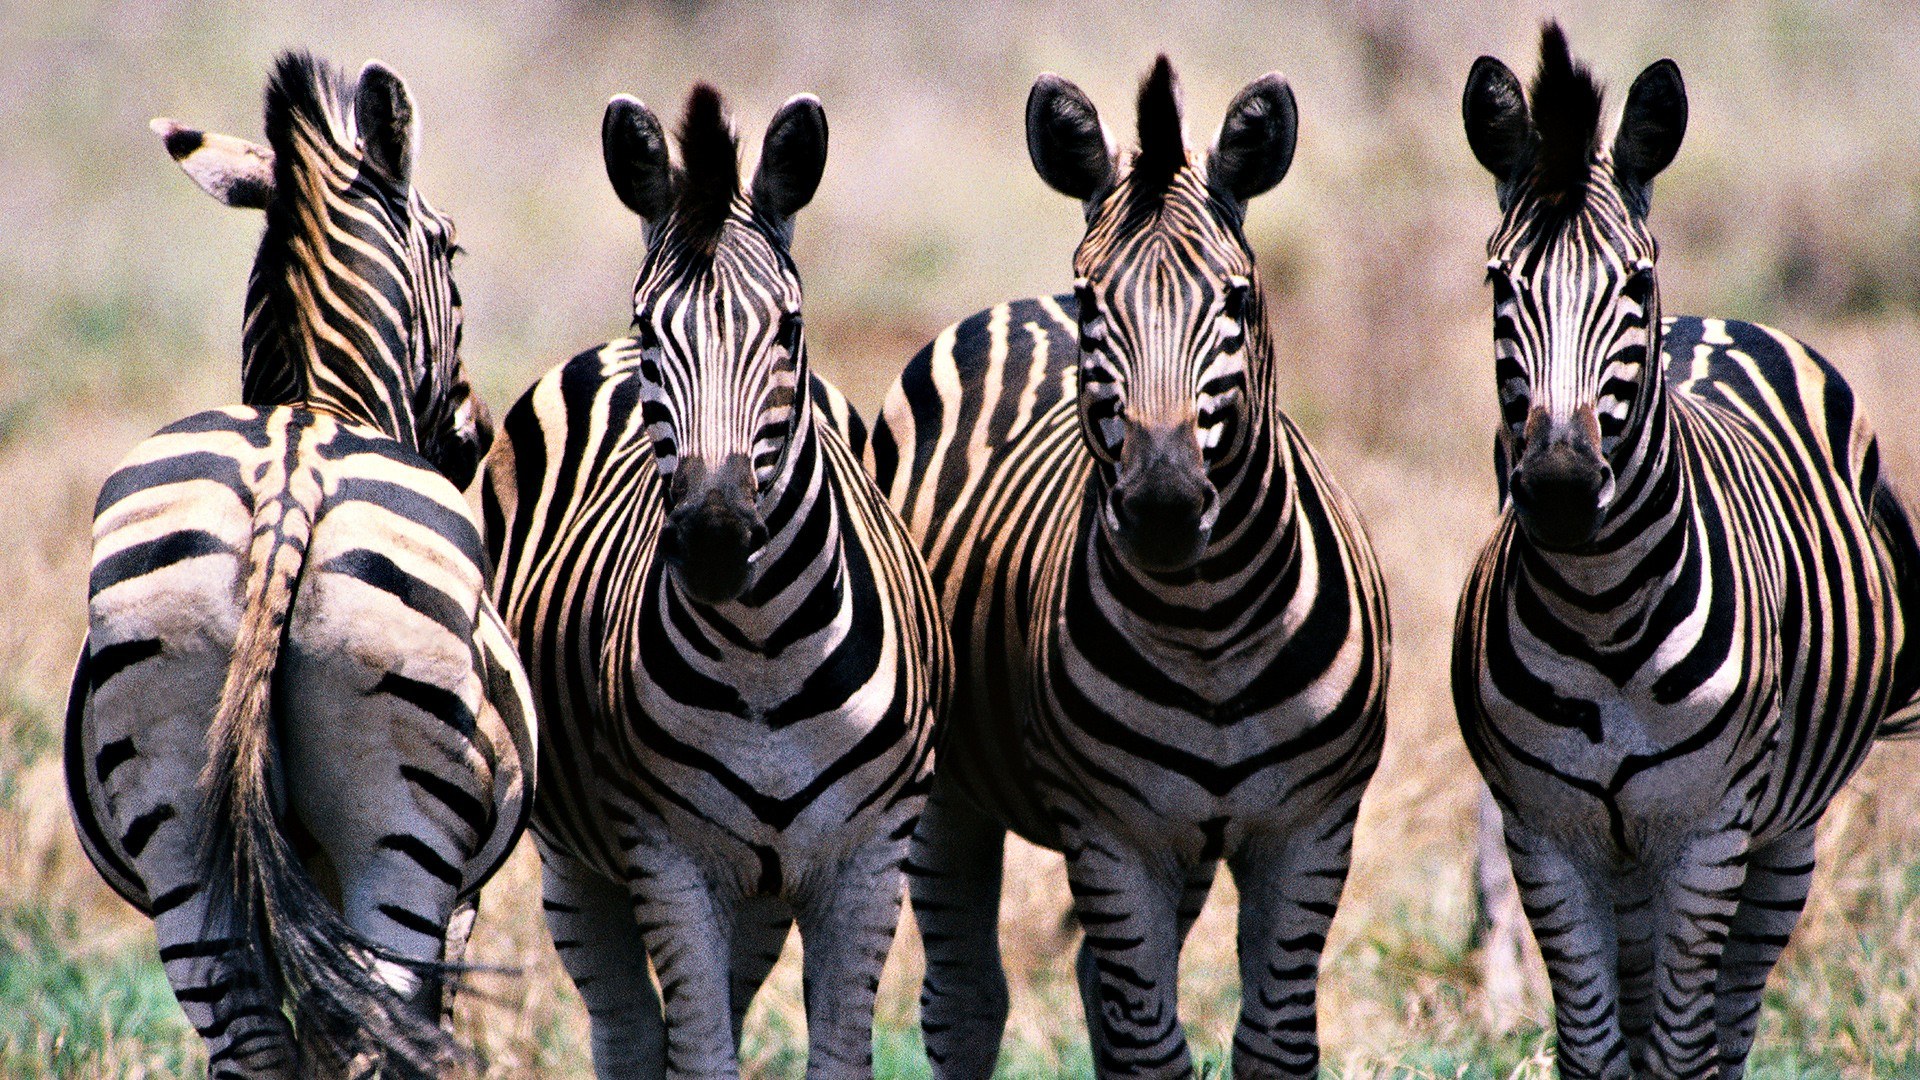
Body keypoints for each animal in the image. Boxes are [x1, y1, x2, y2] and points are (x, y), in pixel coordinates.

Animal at [66, 53, 535, 1078]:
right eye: (455, 252)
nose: (476, 434)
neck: (319, 399)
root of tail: (290, 480)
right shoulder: (462, 902)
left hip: (182, 835)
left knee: (252, 1042)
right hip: (400, 847)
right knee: (371, 1032)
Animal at [481, 84, 949, 1079]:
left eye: (791, 328)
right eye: (649, 329)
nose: (714, 541)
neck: (763, 656)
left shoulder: (869, 859)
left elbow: (834, 1053)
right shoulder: (666, 858)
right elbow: (698, 1054)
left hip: (763, 893)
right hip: (577, 863)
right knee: (627, 1030)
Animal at [871, 58, 1391, 1078]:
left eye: (1237, 299)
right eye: (1093, 300)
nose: (1162, 505)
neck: (1211, 624)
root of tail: (1012, 308)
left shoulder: (1309, 828)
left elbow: (1273, 1044)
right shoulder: (1112, 834)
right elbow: (1152, 1048)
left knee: (1092, 987)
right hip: (947, 791)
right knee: (965, 999)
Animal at [1453, 24, 1920, 1079]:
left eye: (1633, 281)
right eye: (1501, 282)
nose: (1559, 486)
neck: (1600, 613)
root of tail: (1716, 320)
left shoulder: (1708, 836)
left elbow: (1681, 1049)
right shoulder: (1547, 839)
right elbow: (1594, 1049)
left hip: (1782, 837)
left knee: (1731, 1017)